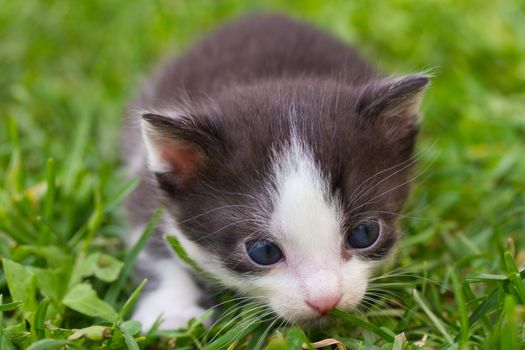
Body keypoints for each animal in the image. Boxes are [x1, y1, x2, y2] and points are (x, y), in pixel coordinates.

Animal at [121, 12, 428, 330]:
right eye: (264, 251)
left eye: (364, 234)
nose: (326, 300)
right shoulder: (146, 182)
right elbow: (151, 241)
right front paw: (170, 311)